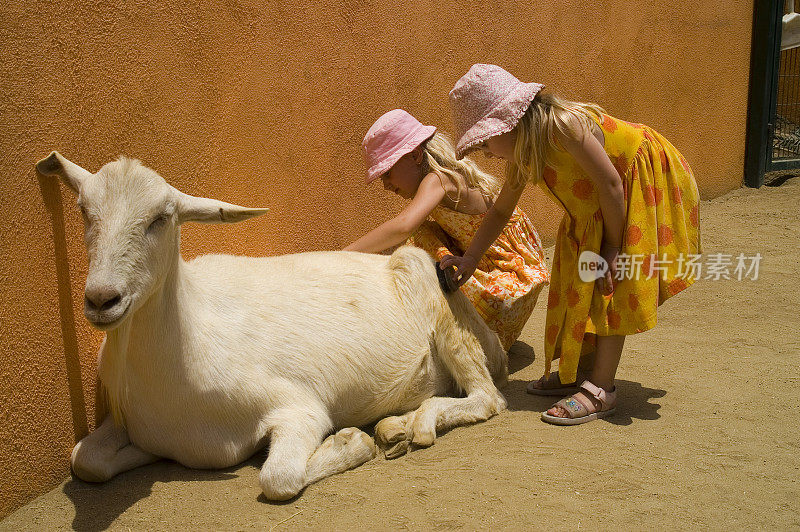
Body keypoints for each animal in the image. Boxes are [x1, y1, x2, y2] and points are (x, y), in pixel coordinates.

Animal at [37, 152, 506, 500]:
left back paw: (414, 426)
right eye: (84, 210)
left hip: (431, 287)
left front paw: (350, 440)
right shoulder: (128, 419)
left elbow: (278, 478)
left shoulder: (298, 407)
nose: (102, 299)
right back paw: (397, 427)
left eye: (160, 218)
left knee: (488, 398)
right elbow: (84, 460)